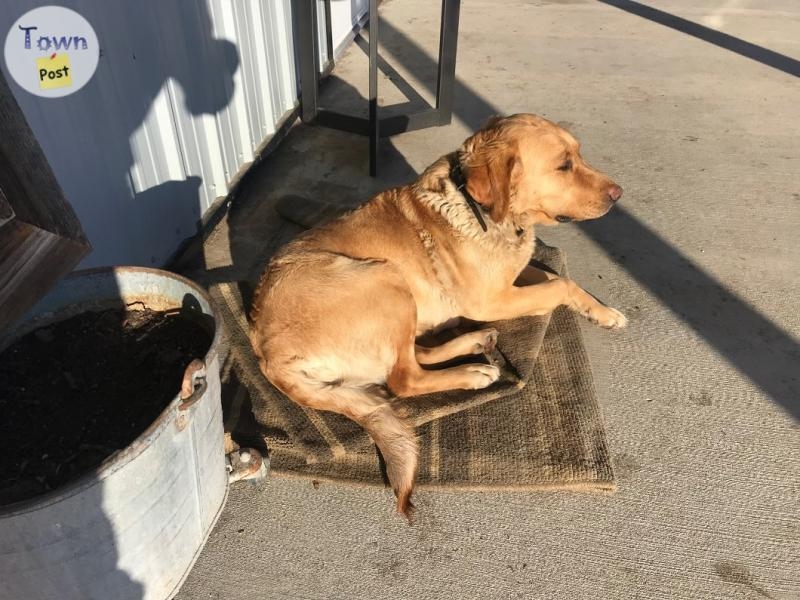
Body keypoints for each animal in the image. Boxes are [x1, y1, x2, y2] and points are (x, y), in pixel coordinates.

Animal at [250, 115, 624, 516]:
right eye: (564, 165)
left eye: (579, 154)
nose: (619, 194)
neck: (483, 211)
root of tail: (267, 353)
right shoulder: (491, 300)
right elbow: (559, 285)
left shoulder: (510, 280)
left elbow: (557, 278)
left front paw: (603, 312)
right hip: (384, 278)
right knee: (404, 378)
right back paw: (473, 373)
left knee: (416, 354)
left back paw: (475, 342)